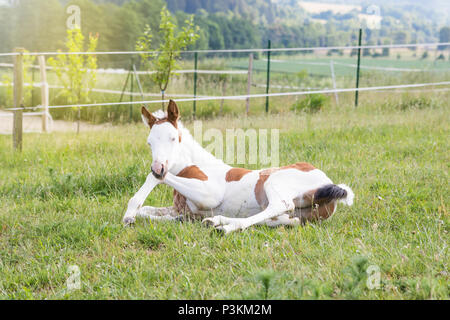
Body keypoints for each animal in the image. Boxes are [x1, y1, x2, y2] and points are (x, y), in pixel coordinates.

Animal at [121, 100, 354, 232]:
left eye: (172, 138)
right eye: (149, 142)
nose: (158, 166)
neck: (192, 166)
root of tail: (329, 183)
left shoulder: (210, 194)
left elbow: (155, 179)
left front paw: (129, 214)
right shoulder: (181, 208)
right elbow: (148, 211)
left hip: (274, 183)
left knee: (281, 204)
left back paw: (226, 227)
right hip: (297, 216)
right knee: (285, 219)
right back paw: (216, 221)